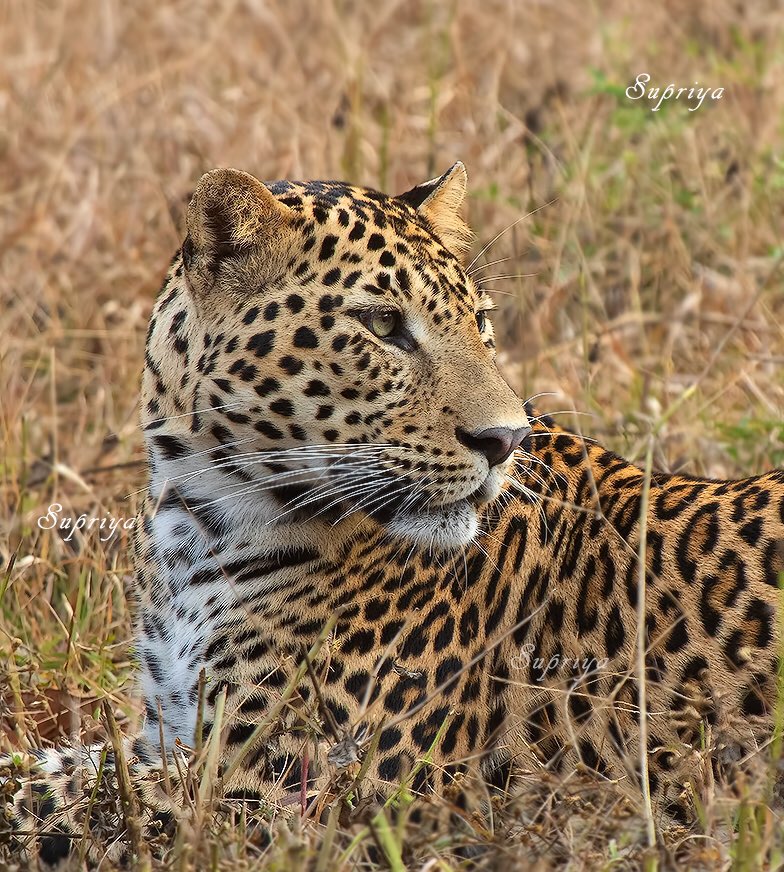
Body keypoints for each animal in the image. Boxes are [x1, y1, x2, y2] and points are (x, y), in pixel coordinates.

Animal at [3, 162, 784, 865]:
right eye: (383, 325)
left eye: (480, 322)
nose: (506, 440)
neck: (196, 522)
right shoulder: (166, 735)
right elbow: (56, 768)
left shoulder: (278, 789)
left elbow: (56, 802)